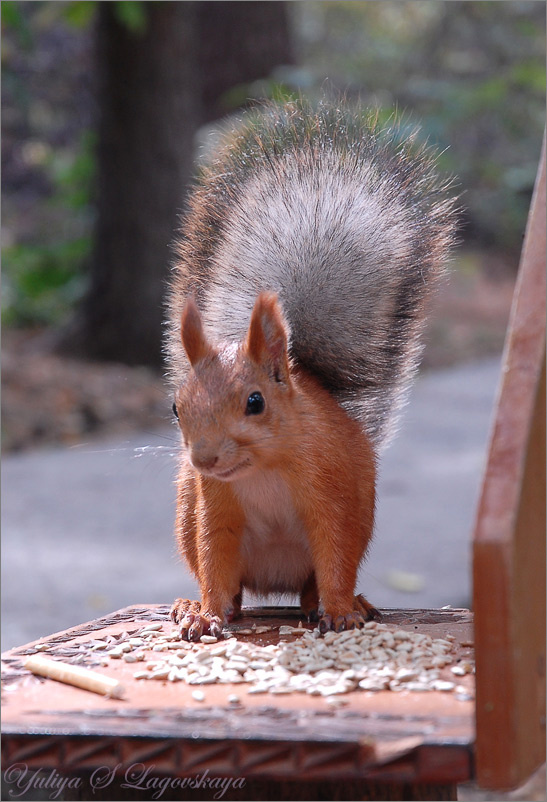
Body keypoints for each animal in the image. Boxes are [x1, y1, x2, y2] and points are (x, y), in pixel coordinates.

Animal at [166, 99, 457, 640]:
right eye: (177, 408)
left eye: (255, 402)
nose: (204, 459)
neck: (262, 470)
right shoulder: (215, 508)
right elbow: (216, 560)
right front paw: (206, 613)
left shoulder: (332, 491)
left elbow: (335, 553)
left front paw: (341, 609)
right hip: (189, 519)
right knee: (234, 589)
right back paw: (192, 604)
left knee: (311, 587)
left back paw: (345, 603)